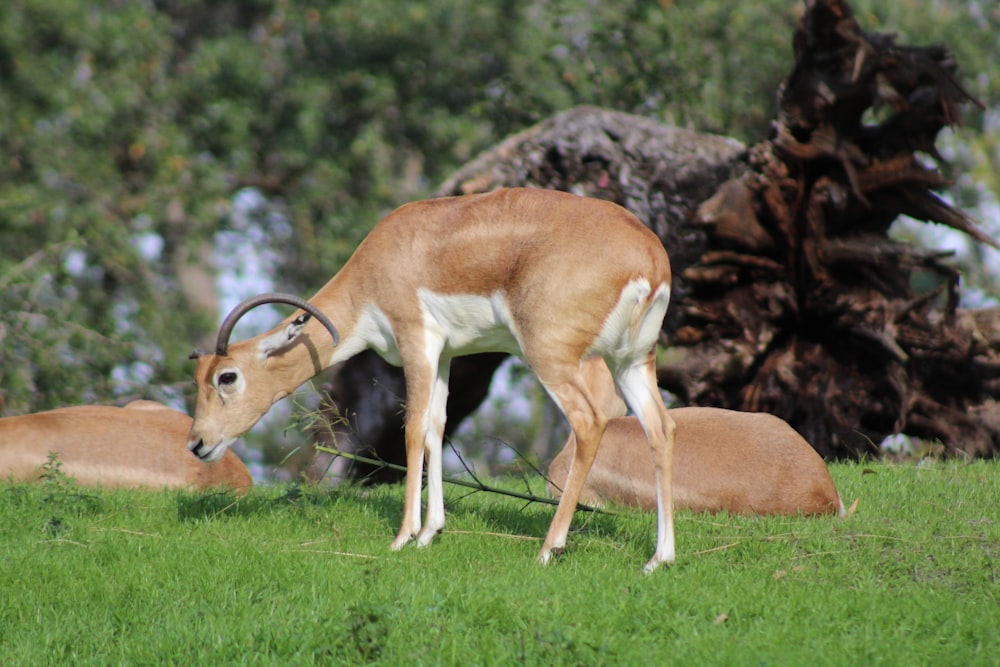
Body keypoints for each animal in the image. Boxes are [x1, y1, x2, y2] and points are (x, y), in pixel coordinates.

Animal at [186, 189, 680, 576]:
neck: (377, 267)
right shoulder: (445, 354)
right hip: (631, 362)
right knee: (660, 428)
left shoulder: (415, 342)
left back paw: (548, 549)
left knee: (589, 422)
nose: (197, 443)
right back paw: (659, 558)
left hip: (552, 358)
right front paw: (429, 533)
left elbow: (412, 429)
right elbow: (436, 427)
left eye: (227, 377)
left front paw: (402, 537)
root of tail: (649, 255)